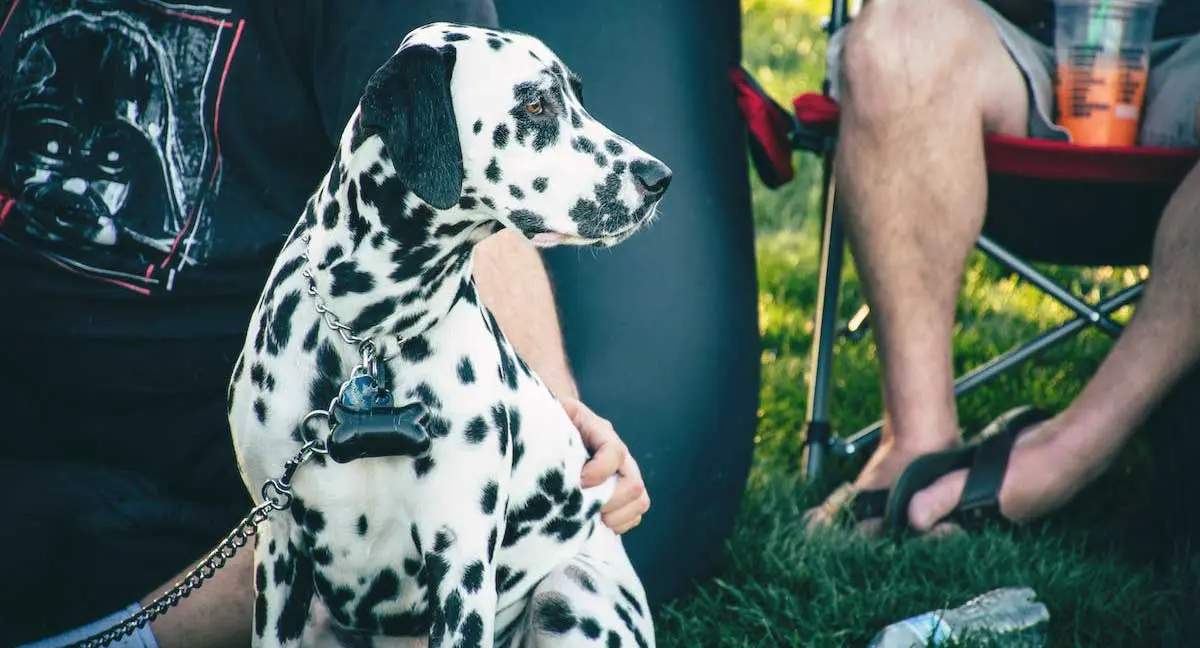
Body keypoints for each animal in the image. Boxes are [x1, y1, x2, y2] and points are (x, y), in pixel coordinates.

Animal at [225, 21, 672, 648]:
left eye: (578, 97)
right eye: (535, 104)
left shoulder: (460, 562)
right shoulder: (280, 548)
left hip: (570, 591)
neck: (368, 333)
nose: (659, 178)